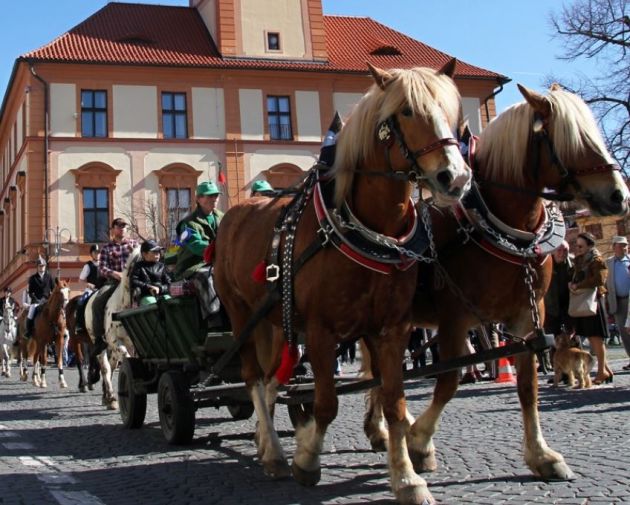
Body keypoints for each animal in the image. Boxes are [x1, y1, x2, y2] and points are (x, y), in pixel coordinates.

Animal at [84, 246, 141, 408]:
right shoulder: (115, 340)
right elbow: (126, 358)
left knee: (111, 365)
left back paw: (106, 395)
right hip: (100, 343)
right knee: (105, 367)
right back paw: (110, 397)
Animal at [215, 60, 472, 504]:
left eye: (452, 112)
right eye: (407, 111)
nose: (454, 177)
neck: (370, 231)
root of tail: (233, 213)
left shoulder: (392, 328)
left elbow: (394, 402)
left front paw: (406, 476)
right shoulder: (322, 331)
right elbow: (326, 404)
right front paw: (306, 459)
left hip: (275, 320)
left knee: (271, 378)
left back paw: (266, 443)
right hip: (241, 314)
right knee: (253, 378)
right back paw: (276, 455)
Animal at [360, 84, 630, 486]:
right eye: (573, 138)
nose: (619, 195)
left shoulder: (527, 319)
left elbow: (528, 386)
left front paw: (541, 455)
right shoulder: (454, 318)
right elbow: (449, 379)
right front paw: (420, 443)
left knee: (381, 375)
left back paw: (383, 428)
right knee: (379, 374)